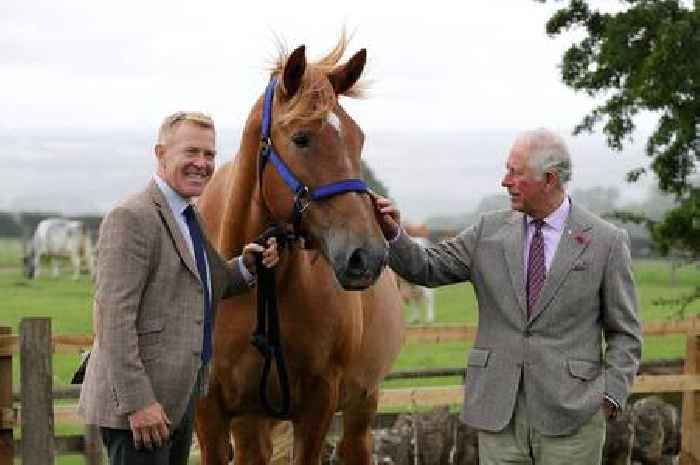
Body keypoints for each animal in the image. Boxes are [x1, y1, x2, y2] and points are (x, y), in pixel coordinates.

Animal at [196, 39, 404, 464]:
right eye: (301, 138)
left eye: (358, 138)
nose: (367, 255)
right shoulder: (210, 413)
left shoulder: (317, 405)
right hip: (252, 418)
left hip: (361, 406)